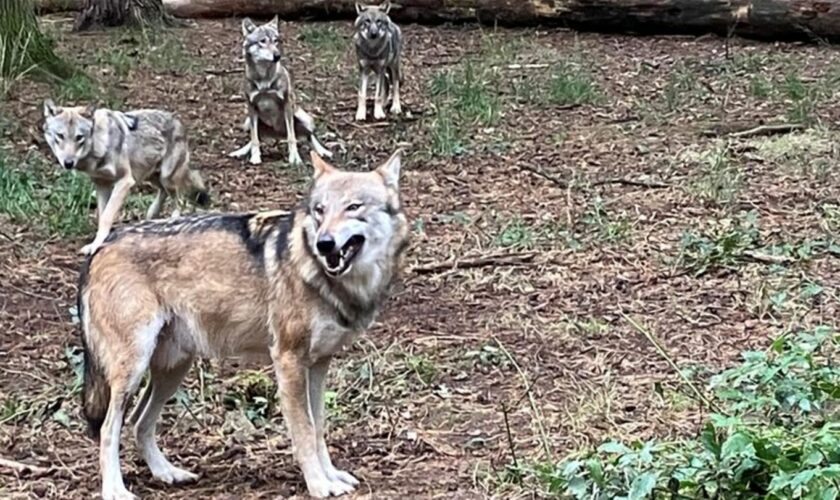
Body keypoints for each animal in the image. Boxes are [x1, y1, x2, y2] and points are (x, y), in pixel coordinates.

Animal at [42, 102, 210, 258]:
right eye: (60, 136)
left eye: (79, 137)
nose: (68, 163)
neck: (100, 143)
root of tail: (177, 120)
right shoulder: (101, 185)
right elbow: (102, 215)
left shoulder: (125, 181)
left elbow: (107, 216)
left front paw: (96, 245)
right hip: (151, 176)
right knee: (163, 193)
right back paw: (152, 215)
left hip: (166, 177)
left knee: (180, 201)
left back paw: (171, 222)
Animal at [78, 149, 410, 500]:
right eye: (320, 210)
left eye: (353, 207)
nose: (325, 244)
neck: (322, 275)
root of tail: (100, 247)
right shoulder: (289, 360)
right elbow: (304, 431)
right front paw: (319, 485)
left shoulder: (319, 364)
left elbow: (319, 425)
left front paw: (332, 476)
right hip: (133, 369)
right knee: (109, 428)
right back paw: (115, 490)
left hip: (173, 369)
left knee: (139, 422)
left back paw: (167, 472)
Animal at [231, 16, 336, 167]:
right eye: (262, 41)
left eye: (275, 40)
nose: (277, 55)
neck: (264, 80)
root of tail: (278, 135)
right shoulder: (251, 106)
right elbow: (254, 139)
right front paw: (255, 157)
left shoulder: (287, 103)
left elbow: (292, 138)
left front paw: (295, 159)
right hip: (247, 122)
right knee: (255, 138)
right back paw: (240, 152)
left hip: (303, 118)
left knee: (309, 136)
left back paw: (323, 151)